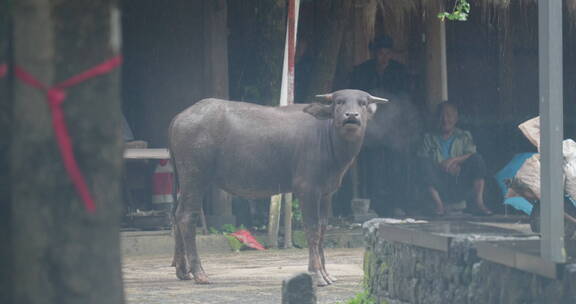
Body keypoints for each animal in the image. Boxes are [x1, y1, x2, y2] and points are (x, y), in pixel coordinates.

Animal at [170, 89, 388, 286]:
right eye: (339, 102)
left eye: (362, 103)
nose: (351, 116)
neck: (328, 140)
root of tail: (178, 118)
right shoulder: (307, 190)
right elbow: (312, 230)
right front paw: (317, 275)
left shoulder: (327, 193)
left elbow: (323, 229)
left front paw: (327, 274)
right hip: (195, 176)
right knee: (187, 216)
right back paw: (200, 273)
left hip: (184, 180)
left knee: (176, 215)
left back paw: (183, 271)